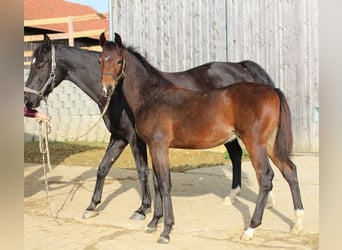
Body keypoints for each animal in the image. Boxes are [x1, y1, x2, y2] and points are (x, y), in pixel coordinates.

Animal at [23, 34, 276, 220]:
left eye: (41, 65)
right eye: (99, 62)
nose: (28, 101)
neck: (121, 94)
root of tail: (240, 67)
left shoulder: (135, 139)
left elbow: (143, 171)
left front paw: (143, 209)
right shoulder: (119, 137)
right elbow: (103, 167)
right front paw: (92, 206)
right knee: (237, 155)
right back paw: (234, 197)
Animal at [99, 33, 304, 244]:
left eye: (119, 60)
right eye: (100, 60)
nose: (106, 89)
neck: (152, 97)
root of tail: (273, 90)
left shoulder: (159, 146)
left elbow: (164, 184)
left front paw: (166, 230)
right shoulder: (152, 146)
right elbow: (157, 183)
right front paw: (154, 222)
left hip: (255, 143)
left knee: (265, 178)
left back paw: (250, 229)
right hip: (269, 144)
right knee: (289, 170)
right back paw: (298, 223)